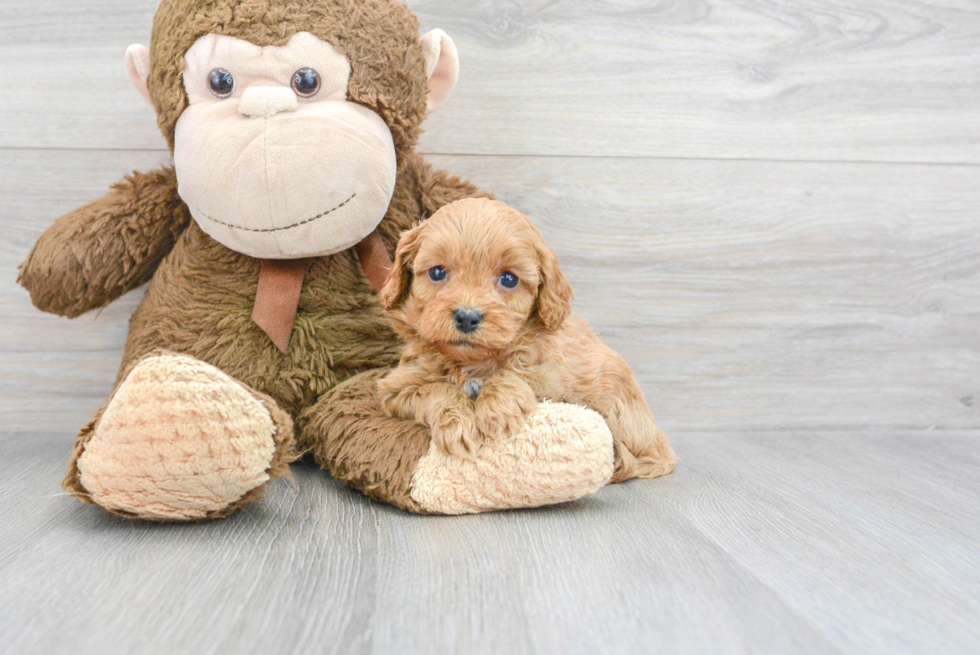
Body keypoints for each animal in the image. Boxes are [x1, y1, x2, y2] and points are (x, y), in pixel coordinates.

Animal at [378, 197, 676, 484]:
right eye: (437, 272)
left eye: (509, 279)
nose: (466, 316)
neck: (472, 363)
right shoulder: (397, 388)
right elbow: (434, 389)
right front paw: (457, 425)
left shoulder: (559, 381)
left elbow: (515, 373)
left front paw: (497, 410)